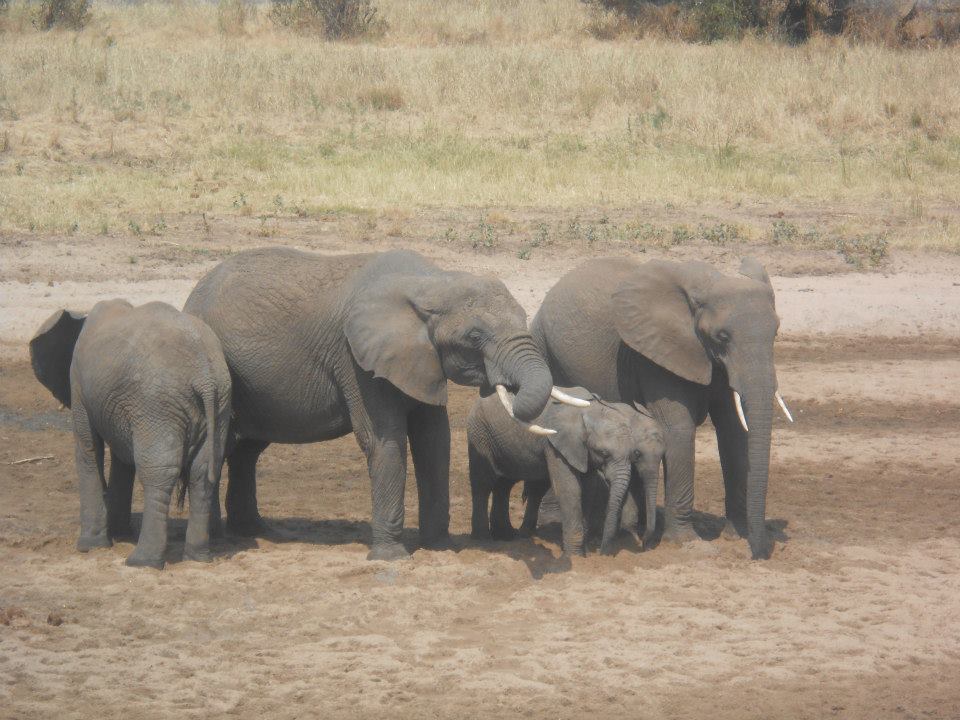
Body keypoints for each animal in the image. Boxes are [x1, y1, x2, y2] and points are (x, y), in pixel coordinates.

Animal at [29, 298, 232, 568]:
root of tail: (205, 377)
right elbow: (121, 460)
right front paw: (118, 533)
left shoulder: (79, 385)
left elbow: (88, 448)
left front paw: (90, 547)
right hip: (219, 402)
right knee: (203, 472)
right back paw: (197, 558)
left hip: (157, 405)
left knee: (159, 472)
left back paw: (142, 561)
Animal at [183, 248, 568, 564]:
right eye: (474, 337)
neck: (432, 282)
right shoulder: (357, 359)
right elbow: (385, 441)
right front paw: (391, 558)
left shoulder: (421, 360)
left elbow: (434, 442)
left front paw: (439, 548)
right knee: (226, 444)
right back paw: (219, 539)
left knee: (247, 450)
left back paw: (256, 532)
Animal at [466, 386, 664, 556]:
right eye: (603, 453)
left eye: (632, 453)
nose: (603, 553)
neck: (591, 410)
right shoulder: (557, 443)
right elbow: (569, 489)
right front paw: (575, 556)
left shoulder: (582, 450)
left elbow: (588, 489)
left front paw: (585, 550)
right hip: (480, 434)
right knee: (483, 483)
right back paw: (484, 539)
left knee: (506, 484)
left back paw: (508, 536)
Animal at [528, 256, 792, 560]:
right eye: (722, 336)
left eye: (775, 333)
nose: (759, 554)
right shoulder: (657, 356)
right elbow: (679, 430)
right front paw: (687, 543)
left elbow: (734, 431)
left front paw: (735, 536)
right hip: (543, 347)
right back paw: (555, 523)